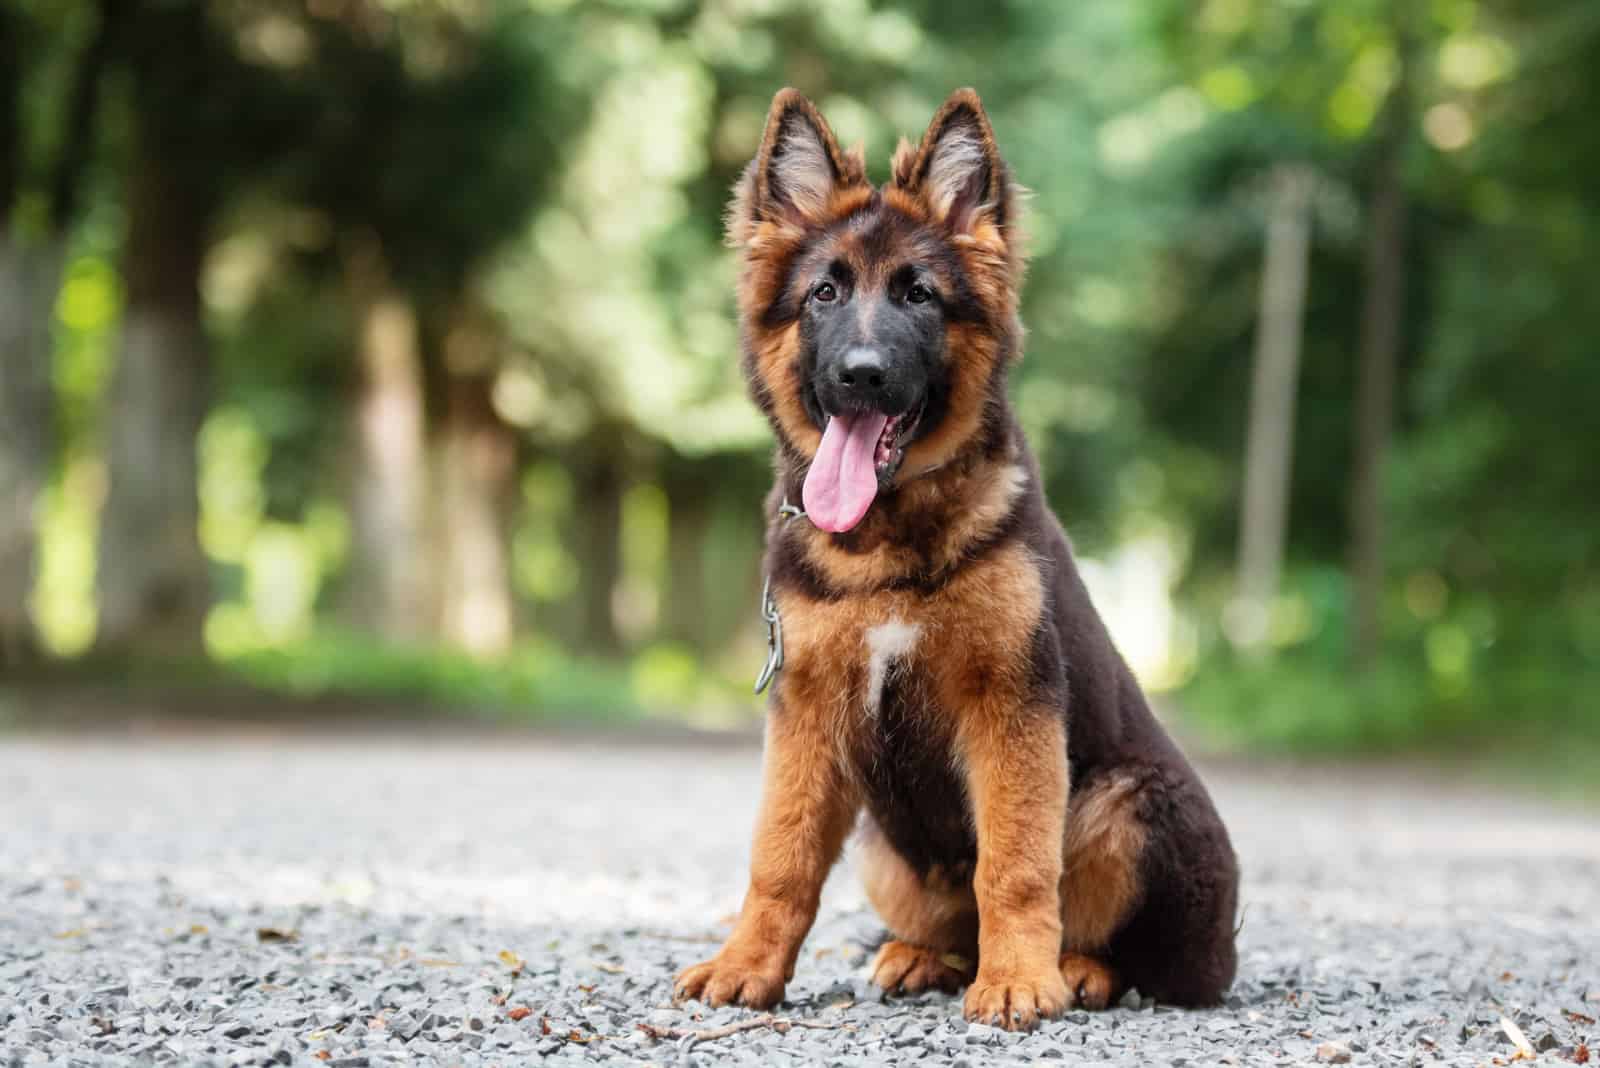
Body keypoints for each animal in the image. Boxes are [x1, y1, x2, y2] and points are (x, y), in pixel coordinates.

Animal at [672, 93, 1235, 1036]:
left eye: (919, 295)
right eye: (825, 292)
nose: (861, 376)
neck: (886, 544)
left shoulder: (1010, 704)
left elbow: (1014, 863)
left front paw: (1019, 982)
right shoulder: (806, 713)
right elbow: (780, 856)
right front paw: (748, 966)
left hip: (1125, 801)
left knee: (1147, 961)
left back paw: (1075, 970)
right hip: (880, 845)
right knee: (949, 924)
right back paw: (924, 956)